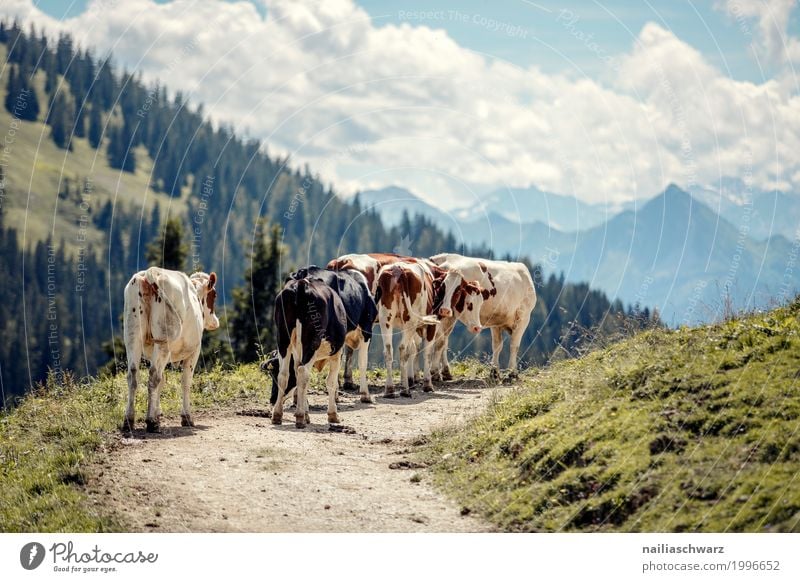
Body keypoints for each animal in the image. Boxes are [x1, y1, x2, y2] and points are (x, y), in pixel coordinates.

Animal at [121, 270, 219, 434]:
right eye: (214, 295)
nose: (215, 322)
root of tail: (148, 274)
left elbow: (162, 382)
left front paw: (158, 412)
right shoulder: (194, 350)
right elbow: (185, 382)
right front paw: (186, 417)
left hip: (132, 336)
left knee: (133, 376)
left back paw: (129, 421)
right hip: (163, 342)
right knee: (153, 376)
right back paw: (151, 422)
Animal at [272, 276, 346, 426]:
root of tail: (301, 283)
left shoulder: (297, 353)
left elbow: (299, 381)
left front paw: (306, 413)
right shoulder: (337, 353)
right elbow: (331, 382)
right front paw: (332, 414)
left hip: (283, 338)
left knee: (285, 375)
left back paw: (277, 414)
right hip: (312, 342)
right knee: (303, 372)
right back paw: (300, 417)